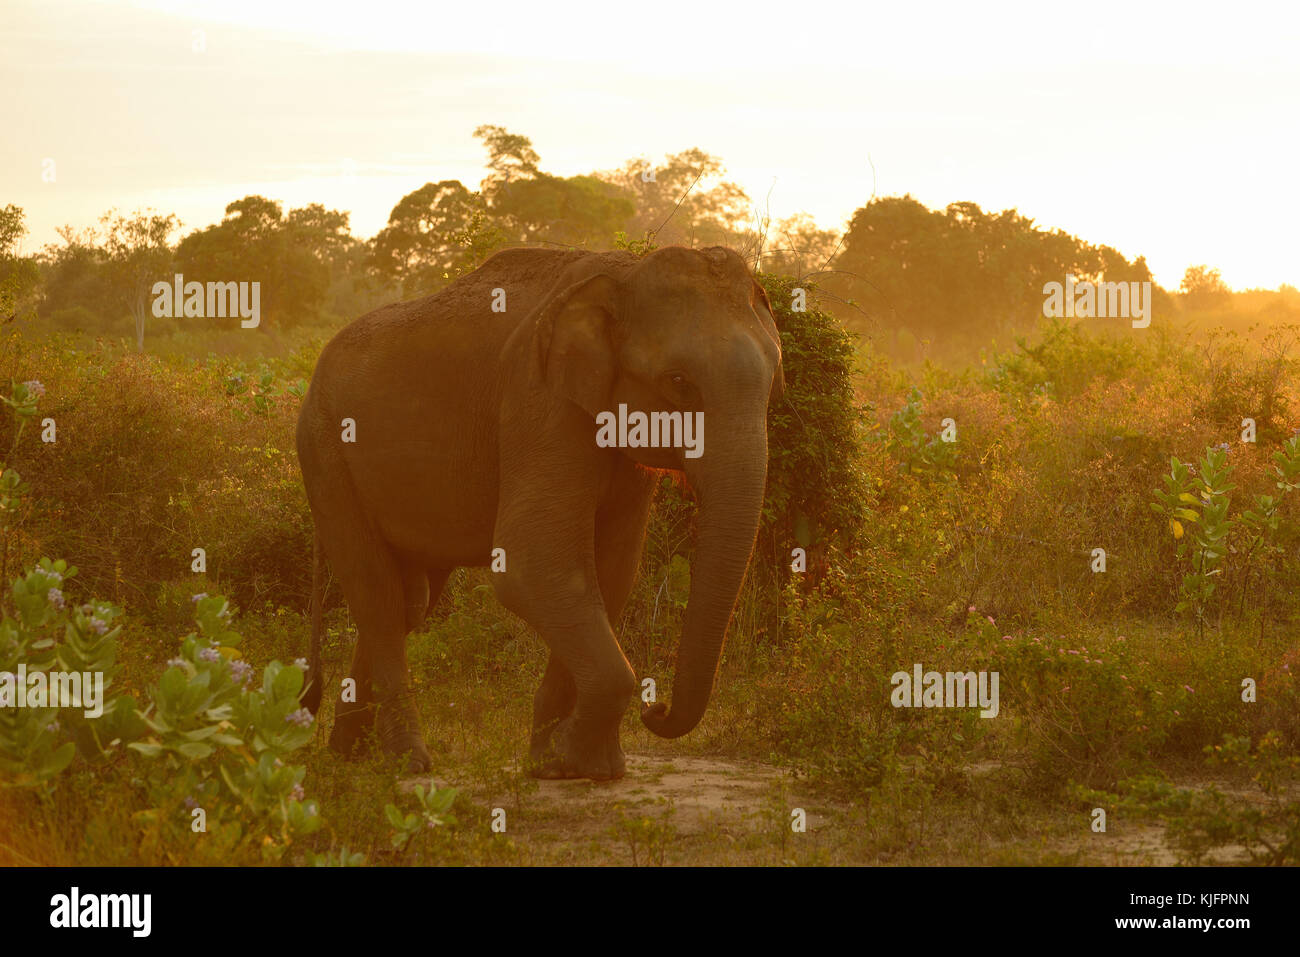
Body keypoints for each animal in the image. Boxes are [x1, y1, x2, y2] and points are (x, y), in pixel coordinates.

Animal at [296, 243, 780, 780]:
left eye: (773, 381)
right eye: (678, 381)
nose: (656, 710)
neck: (624, 272)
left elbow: (611, 571)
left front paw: (562, 763)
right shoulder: (539, 398)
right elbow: (533, 563)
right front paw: (579, 761)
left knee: (408, 600)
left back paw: (346, 756)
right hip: (325, 453)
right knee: (377, 593)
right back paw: (409, 763)